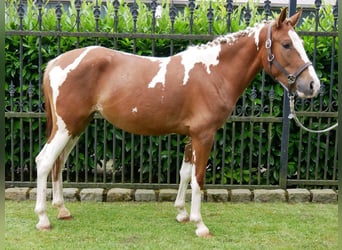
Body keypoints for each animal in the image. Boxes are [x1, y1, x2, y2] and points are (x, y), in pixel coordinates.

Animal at [34, 8, 320, 237]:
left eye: (300, 42)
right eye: (286, 44)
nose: (313, 85)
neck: (213, 73)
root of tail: (55, 62)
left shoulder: (191, 135)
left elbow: (184, 172)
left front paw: (182, 213)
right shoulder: (204, 135)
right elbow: (199, 178)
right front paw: (200, 224)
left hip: (75, 127)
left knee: (59, 162)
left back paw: (62, 210)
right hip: (66, 126)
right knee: (45, 161)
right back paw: (44, 219)